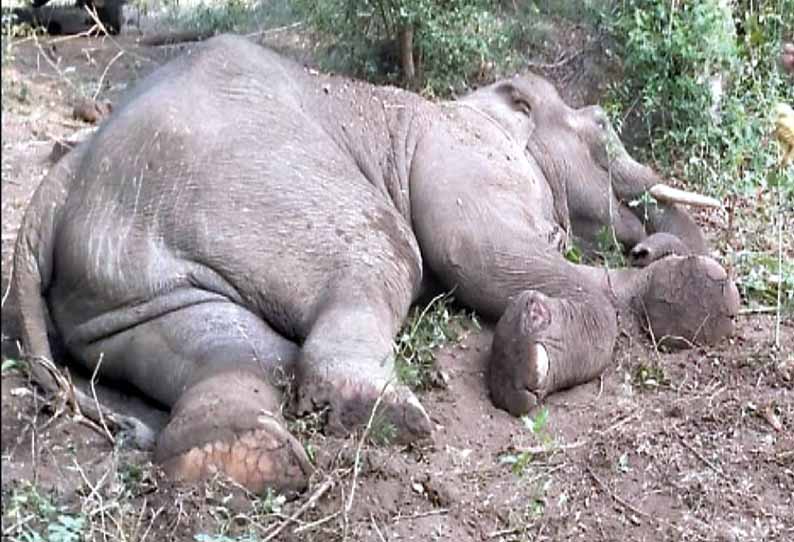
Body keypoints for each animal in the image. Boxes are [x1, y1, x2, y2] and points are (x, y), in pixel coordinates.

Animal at [7, 34, 736, 498]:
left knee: (230, 347)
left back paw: (233, 458)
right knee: (382, 256)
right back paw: (380, 415)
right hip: (260, 190)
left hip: (118, 286)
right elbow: (478, 253)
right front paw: (529, 357)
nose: (644, 247)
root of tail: (59, 184)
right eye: (602, 124)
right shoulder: (462, 153)